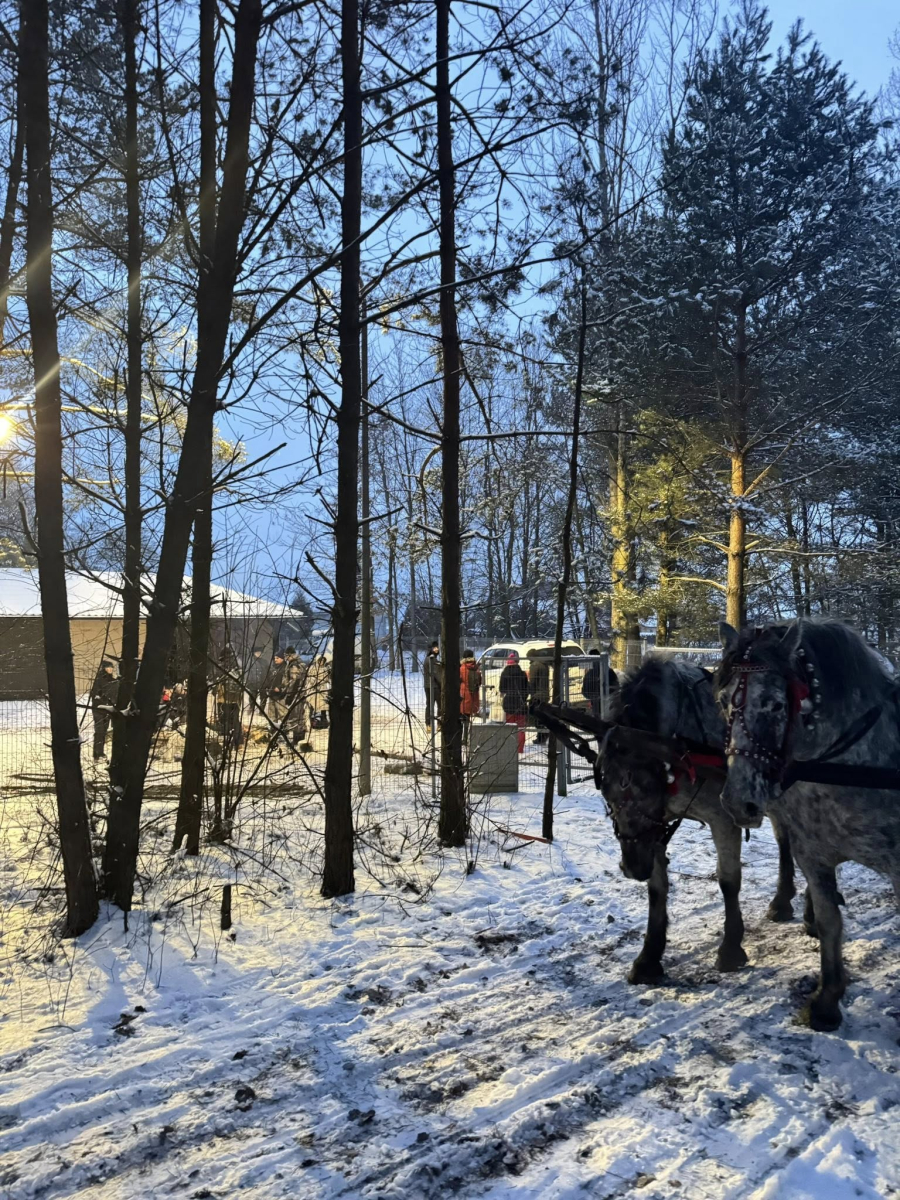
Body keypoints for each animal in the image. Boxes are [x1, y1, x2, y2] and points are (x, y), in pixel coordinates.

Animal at [538, 655, 802, 984]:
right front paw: (648, 958)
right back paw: (783, 899)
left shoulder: (723, 818)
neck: (679, 749)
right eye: (606, 793)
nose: (632, 867)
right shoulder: (655, 828)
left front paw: (730, 948)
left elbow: (728, 880)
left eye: (648, 787)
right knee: (785, 837)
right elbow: (656, 888)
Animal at [718, 618, 900, 1031]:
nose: (738, 800)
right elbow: (831, 921)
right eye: (722, 700)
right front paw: (827, 1001)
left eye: (775, 703)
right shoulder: (813, 856)